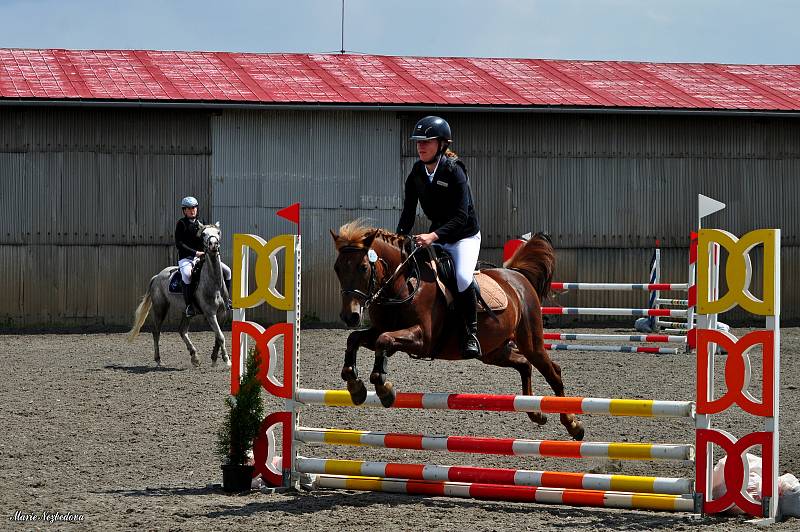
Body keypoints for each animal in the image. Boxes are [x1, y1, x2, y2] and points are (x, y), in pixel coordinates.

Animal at [328, 220, 584, 440]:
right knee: (524, 364)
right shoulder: (382, 330)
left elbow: (383, 341)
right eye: (337, 268)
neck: (402, 284)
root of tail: (517, 276)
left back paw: (573, 424)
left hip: (531, 341)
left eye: (363, 267)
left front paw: (384, 389)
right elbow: (355, 339)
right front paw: (355, 386)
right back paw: (536, 412)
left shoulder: (423, 339)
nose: (350, 316)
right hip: (493, 351)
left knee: (553, 372)